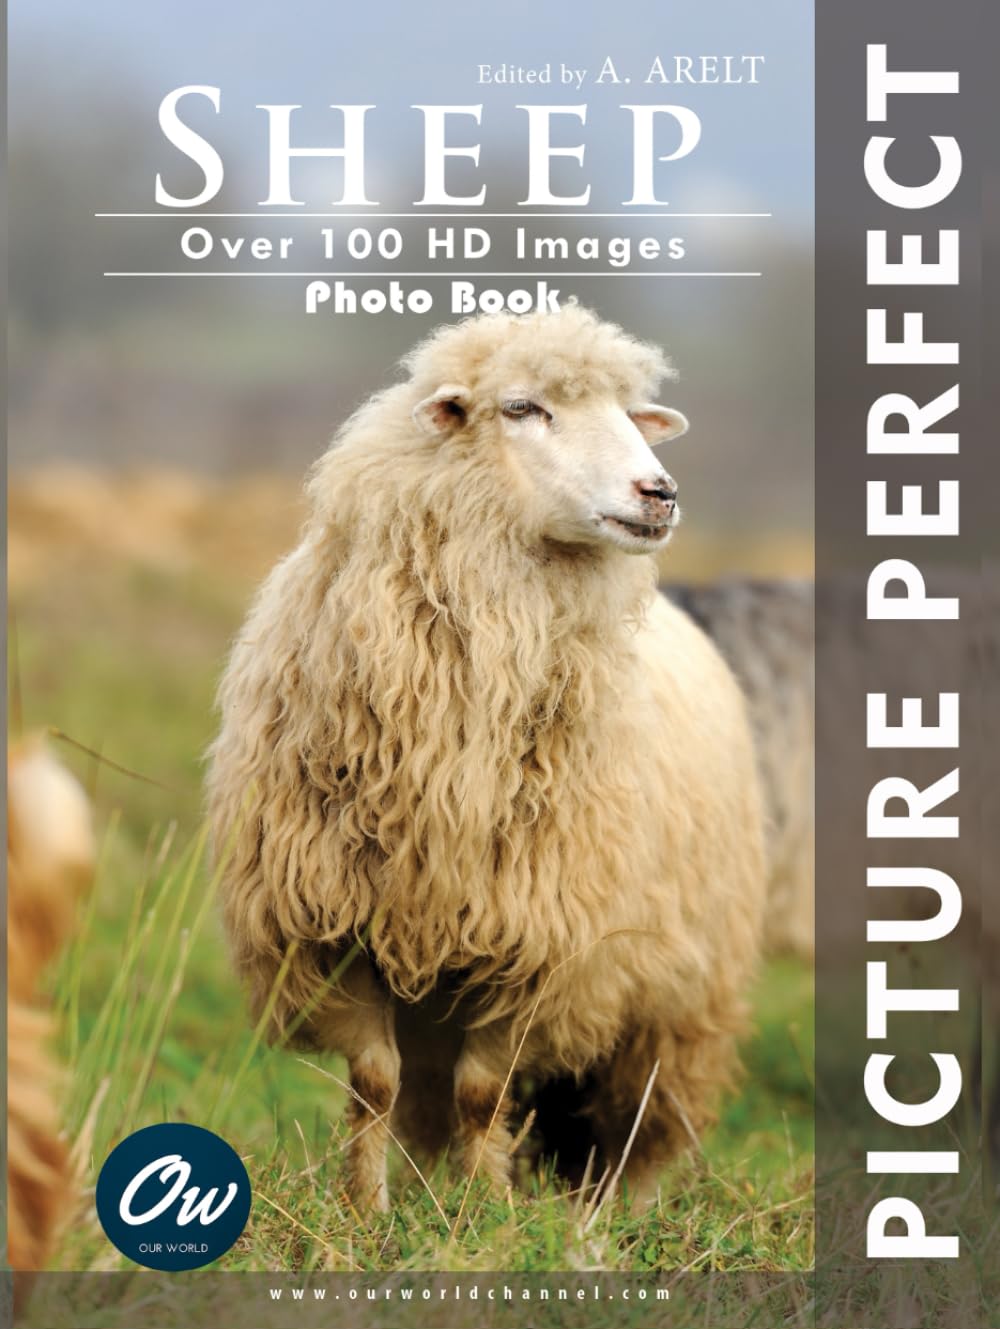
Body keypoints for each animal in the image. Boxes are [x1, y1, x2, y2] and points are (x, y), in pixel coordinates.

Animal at [207, 304, 766, 1211]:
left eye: (628, 412)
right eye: (522, 408)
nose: (660, 492)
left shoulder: (543, 943)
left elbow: (484, 1091)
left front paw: (484, 1215)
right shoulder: (334, 927)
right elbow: (375, 1082)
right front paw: (369, 1209)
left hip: (681, 993)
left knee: (645, 1114)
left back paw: (618, 1209)